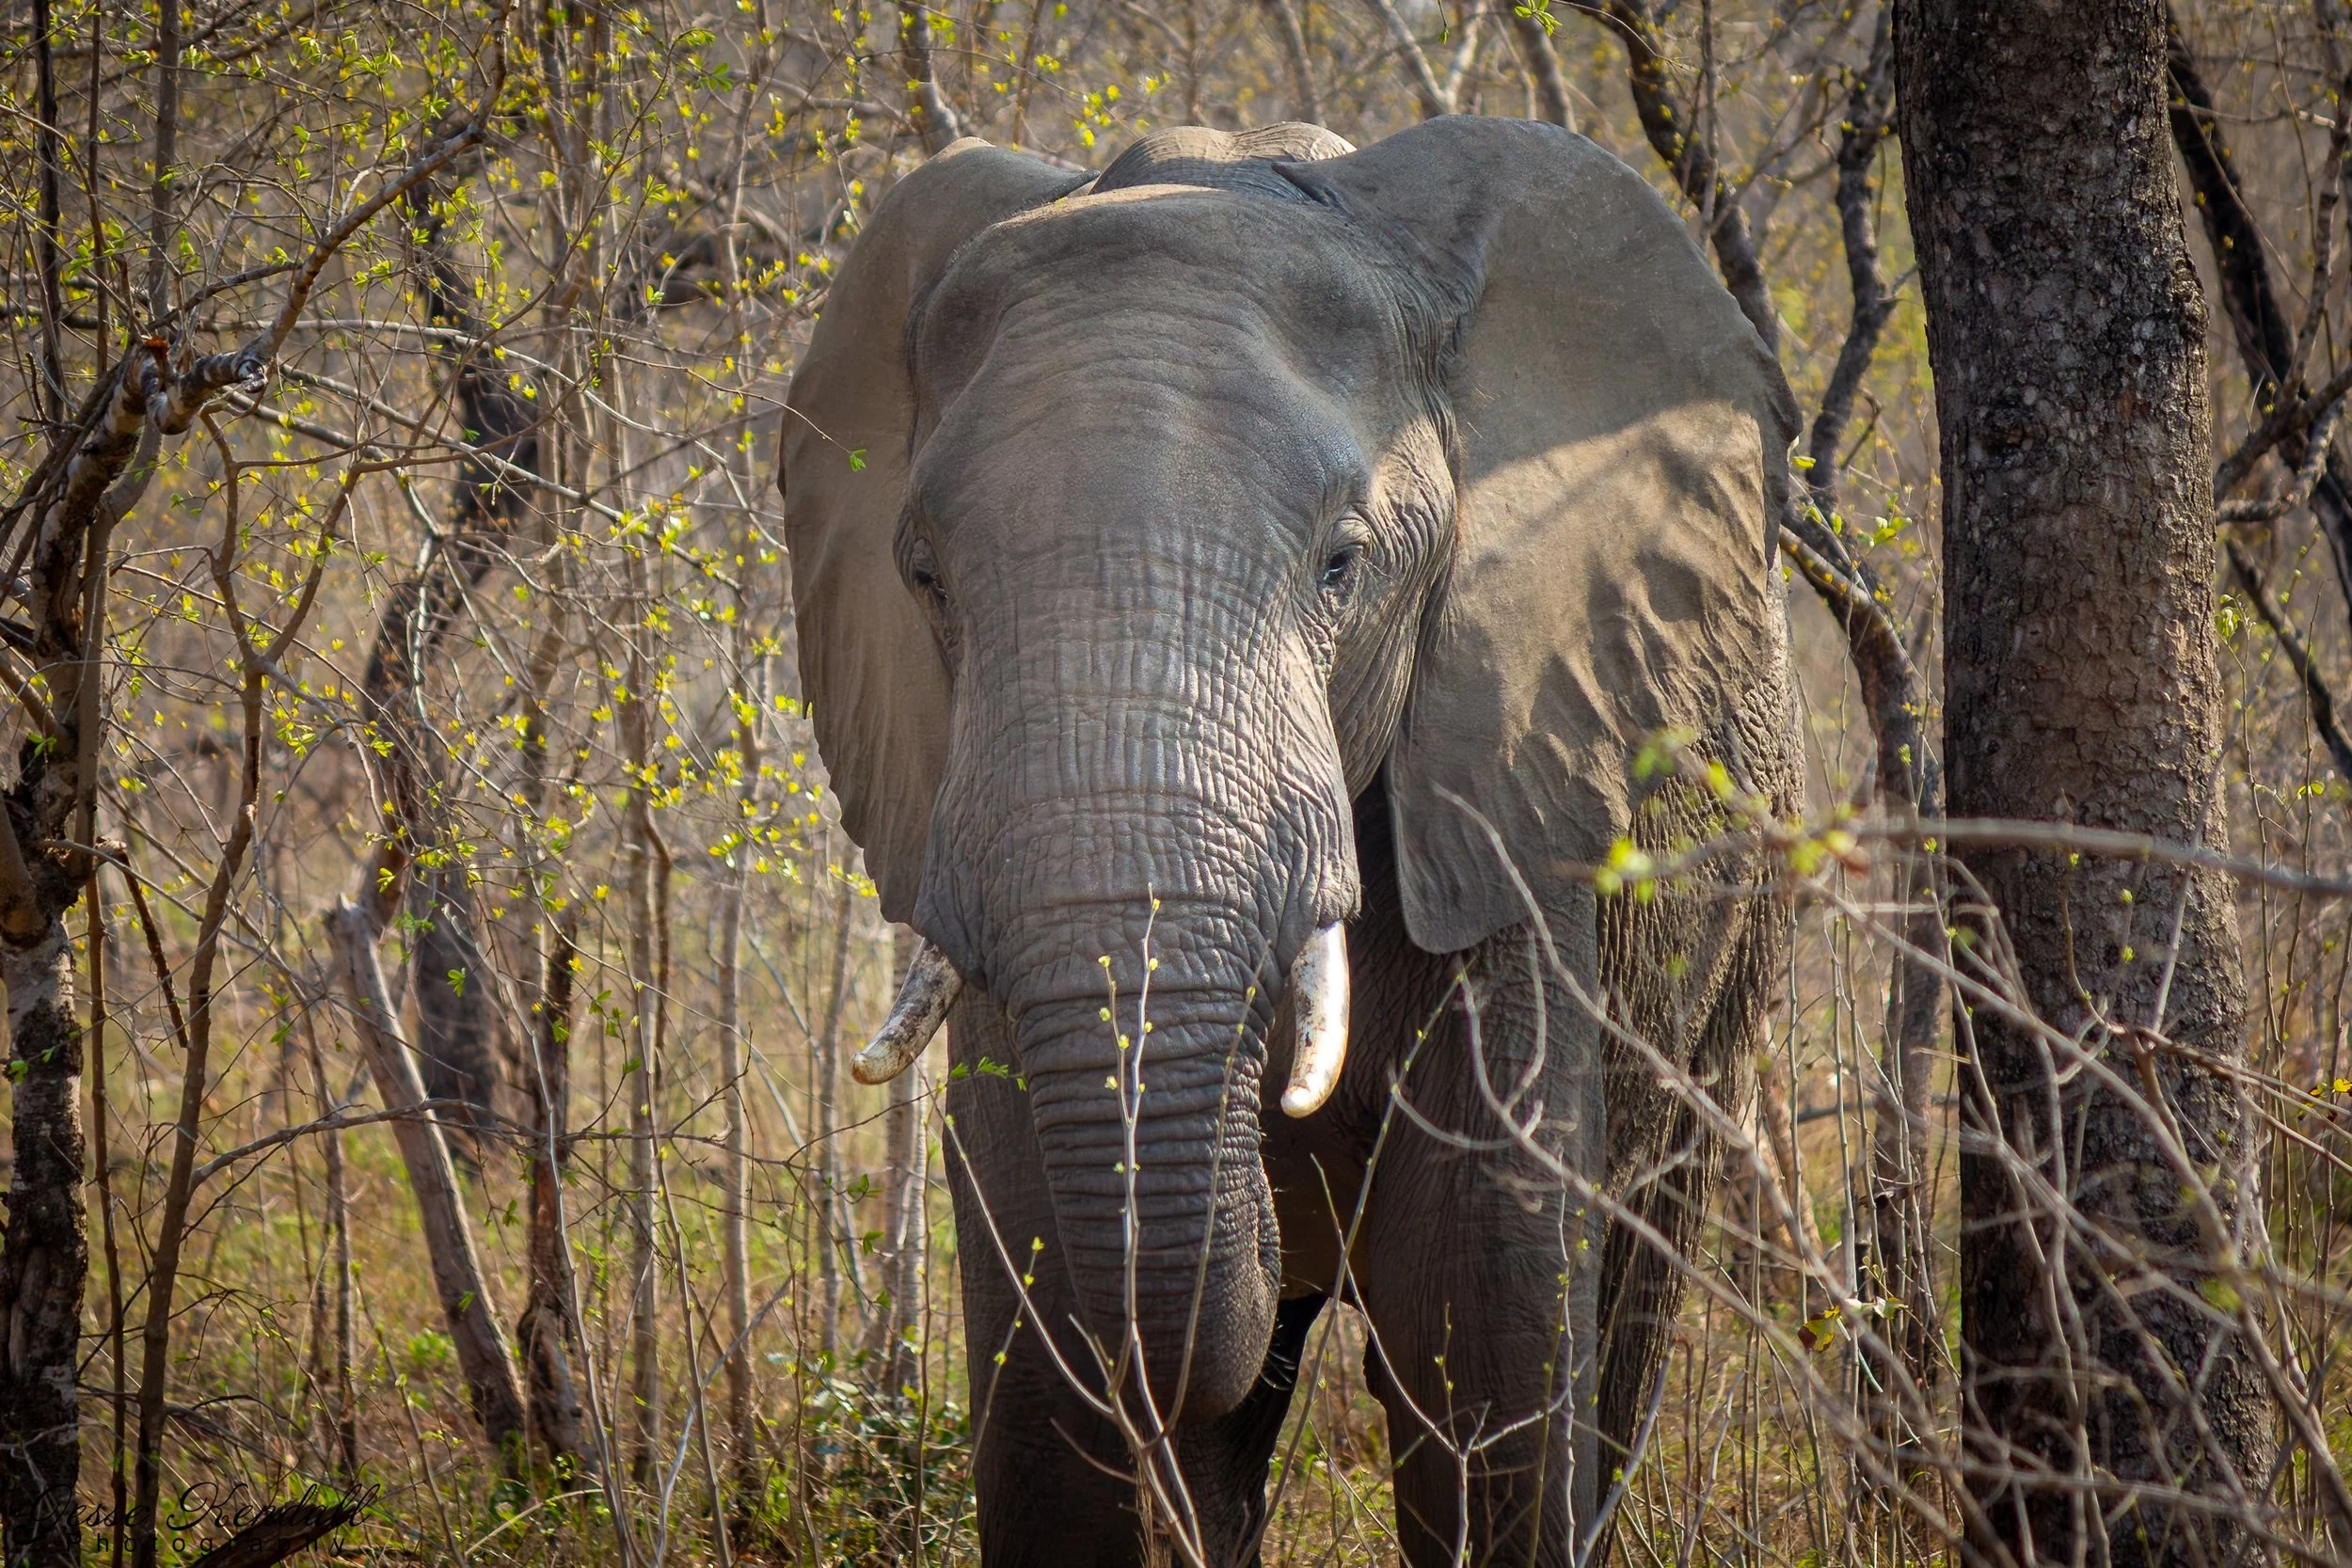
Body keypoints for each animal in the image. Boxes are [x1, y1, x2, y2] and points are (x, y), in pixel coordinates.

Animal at [778, 116, 1800, 1566]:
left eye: (1341, 565)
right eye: (924, 577)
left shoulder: (1506, 791)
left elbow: (1473, 1346)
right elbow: (1043, 1373)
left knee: (1627, 1293)